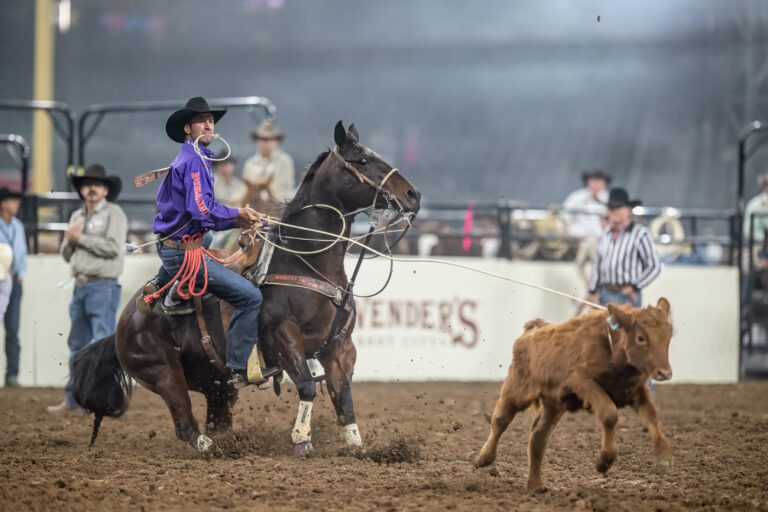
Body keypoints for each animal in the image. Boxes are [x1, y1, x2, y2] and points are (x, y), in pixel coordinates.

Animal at [71, 122, 420, 454]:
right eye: (362, 160)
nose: (413, 194)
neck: (306, 261)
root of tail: (125, 320)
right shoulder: (283, 336)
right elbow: (307, 386)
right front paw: (301, 440)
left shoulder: (340, 347)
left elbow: (344, 398)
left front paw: (358, 447)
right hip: (163, 373)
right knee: (186, 425)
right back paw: (216, 449)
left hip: (215, 384)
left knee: (214, 419)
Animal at [474, 298, 672, 490]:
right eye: (641, 338)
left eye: (669, 336)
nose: (665, 373)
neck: (611, 347)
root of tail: (532, 331)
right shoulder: (581, 381)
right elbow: (609, 414)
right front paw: (604, 462)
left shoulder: (636, 390)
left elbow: (651, 416)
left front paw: (665, 458)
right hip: (517, 389)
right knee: (501, 421)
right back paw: (483, 458)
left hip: (553, 404)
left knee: (538, 437)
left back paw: (535, 485)